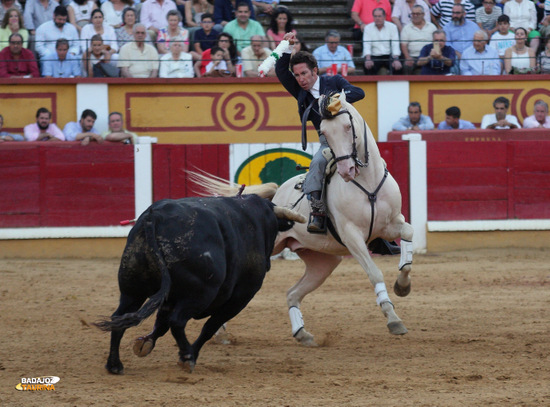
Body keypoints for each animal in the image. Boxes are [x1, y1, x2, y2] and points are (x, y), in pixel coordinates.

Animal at [97, 196, 304, 374]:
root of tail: (154, 217)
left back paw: (114, 365)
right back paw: (188, 357)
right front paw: (190, 353)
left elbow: (161, 325)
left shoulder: (169, 299)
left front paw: (144, 343)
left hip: (132, 289)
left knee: (119, 318)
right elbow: (209, 327)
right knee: (177, 321)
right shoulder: (240, 298)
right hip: (200, 294)